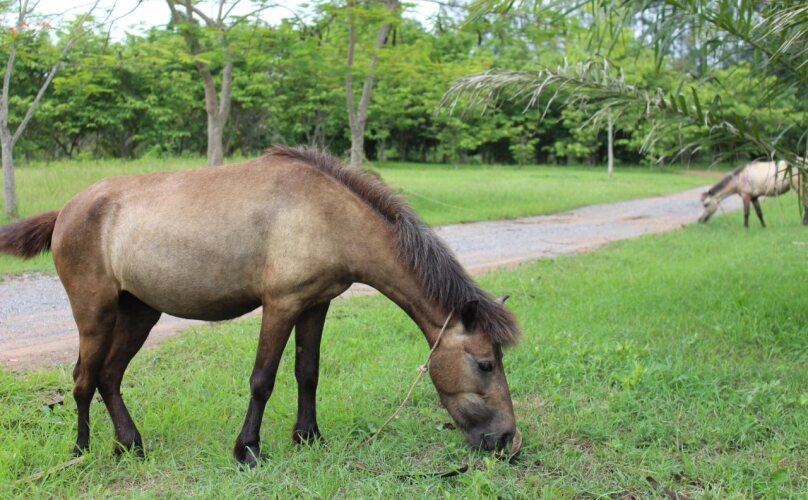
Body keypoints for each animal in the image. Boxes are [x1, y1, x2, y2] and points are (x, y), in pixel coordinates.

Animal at [0, 146, 520, 467]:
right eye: (485, 363)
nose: (508, 442)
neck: (326, 215)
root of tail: (67, 210)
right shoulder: (281, 305)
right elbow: (262, 380)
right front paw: (248, 450)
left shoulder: (315, 305)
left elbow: (307, 372)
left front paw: (308, 437)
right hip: (96, 314)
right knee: (83, 379)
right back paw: (81, 449)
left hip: (139, 311)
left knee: (108, 376)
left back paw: (130, 446)